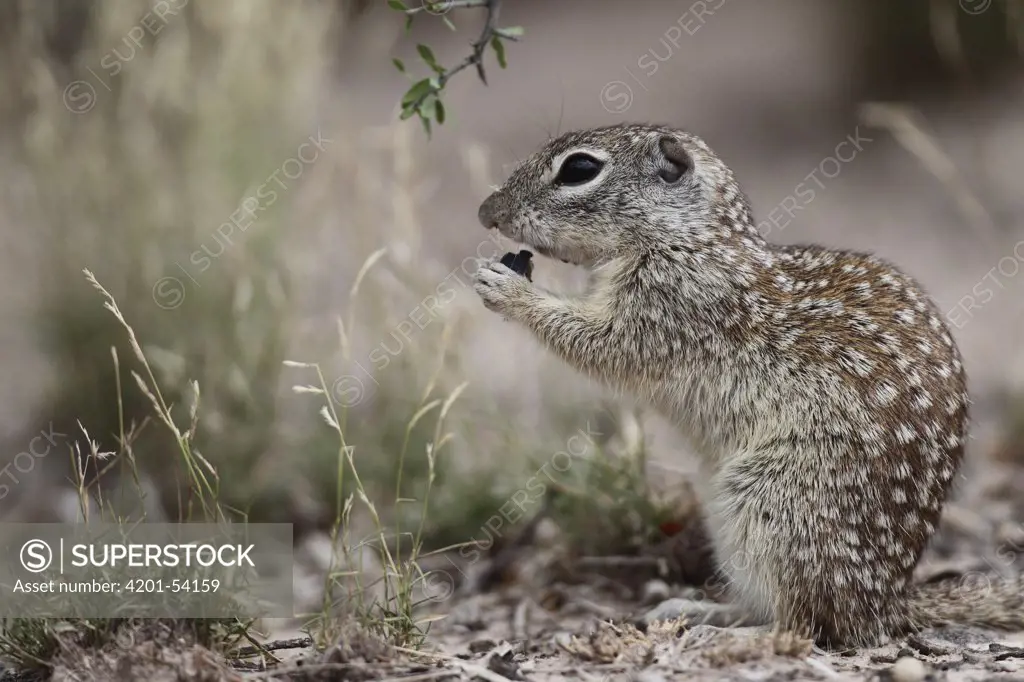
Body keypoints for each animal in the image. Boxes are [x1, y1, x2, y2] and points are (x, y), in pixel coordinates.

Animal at [471, 123, 1024, 647]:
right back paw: (699, 609)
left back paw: (734, 633)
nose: (486, 211)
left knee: (805, 624)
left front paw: (510, 290)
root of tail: (886, 603)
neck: (690, 239)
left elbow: (602, 344)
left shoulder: (673, 304)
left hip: (776, 500)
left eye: (579, 169)